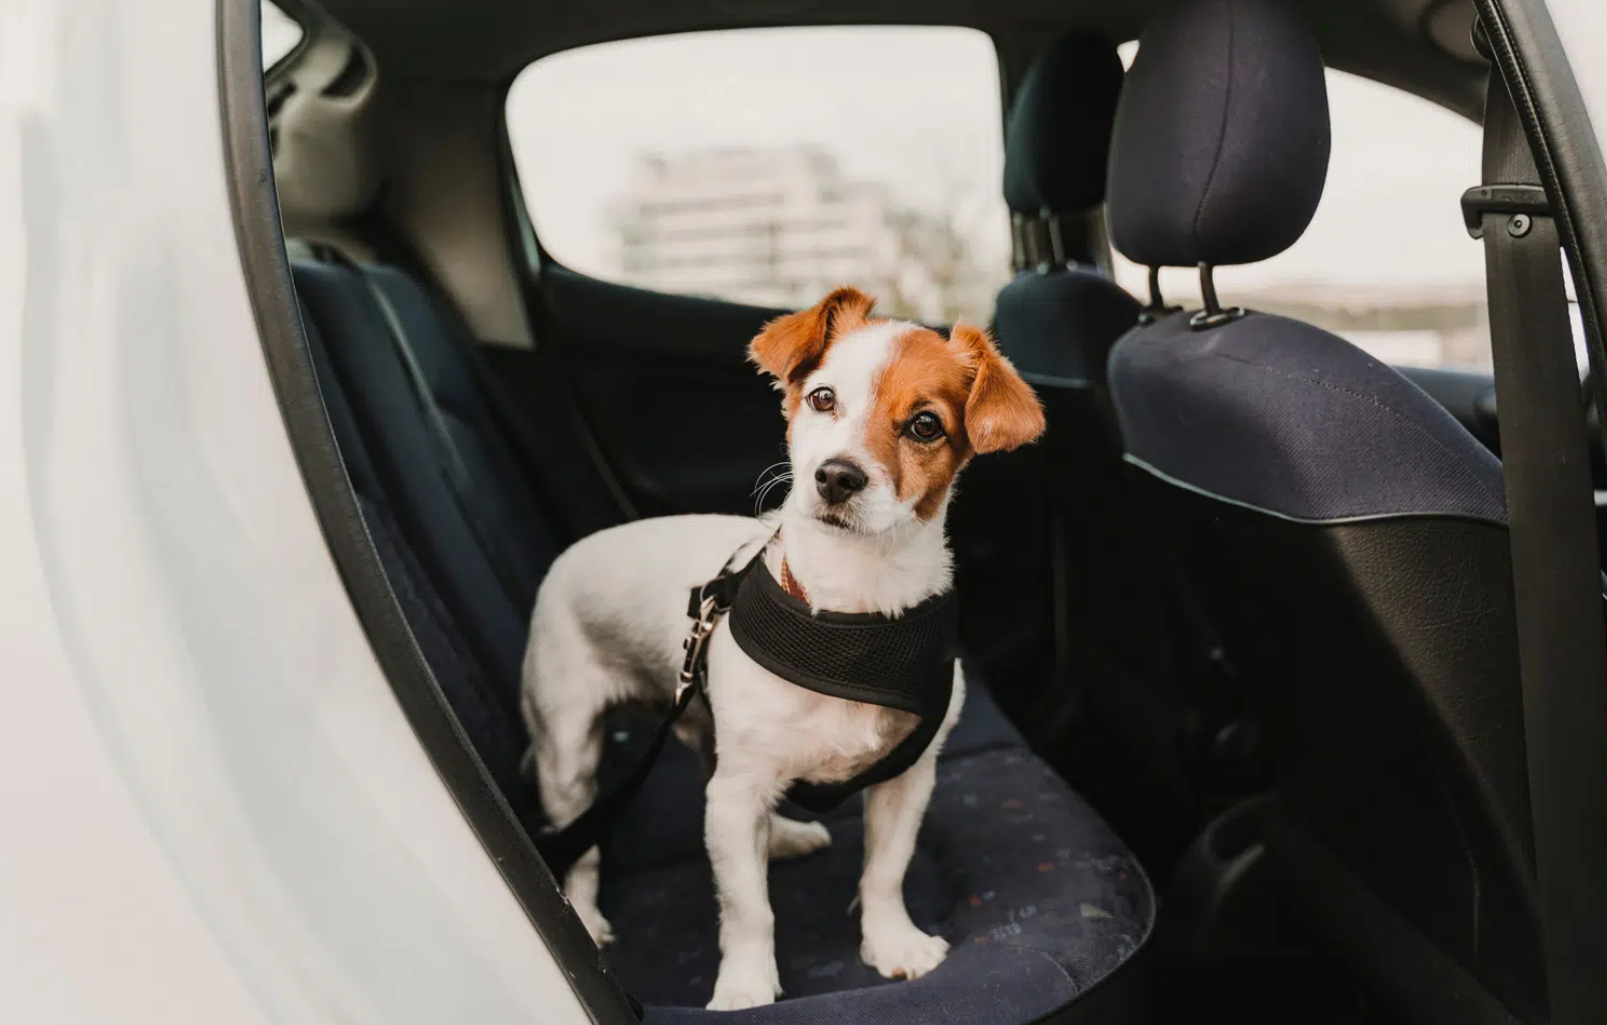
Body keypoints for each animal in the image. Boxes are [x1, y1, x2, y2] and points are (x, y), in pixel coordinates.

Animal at [520, 287, 1047, 1015]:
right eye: (822, 398)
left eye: (924, 425)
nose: (836, 476)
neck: (849, 617)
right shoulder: (736, 792)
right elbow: (748, 910)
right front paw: (745, 985)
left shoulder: (905, 779)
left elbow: (885, 871)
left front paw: (892, 942)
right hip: (569, 755)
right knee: (584, 844)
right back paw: (587, 915)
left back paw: (783, 838)